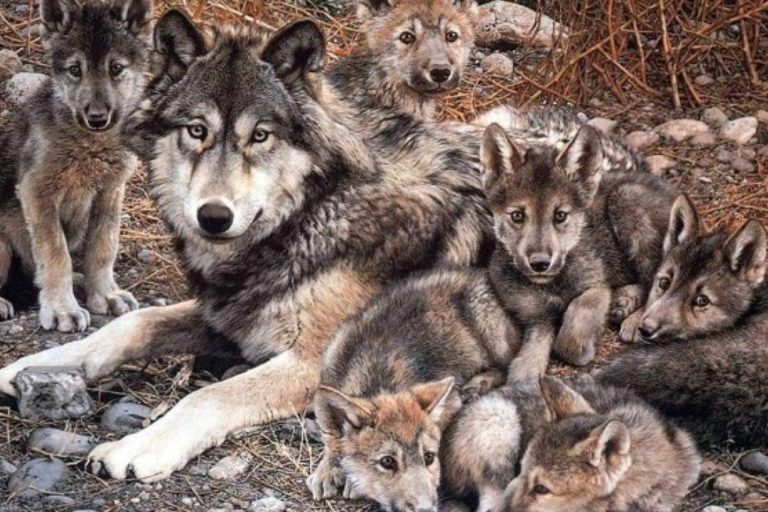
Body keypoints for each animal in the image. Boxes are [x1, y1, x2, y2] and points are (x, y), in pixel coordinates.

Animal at [0, 0, 151, 331]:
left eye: (116, 68)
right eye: (74, 70)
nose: (97, 118)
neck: (90, 146)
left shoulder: (110, 193)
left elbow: (103, 248)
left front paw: (105, 294)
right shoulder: (36, 192)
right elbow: (56, 254)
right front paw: (61, 309)